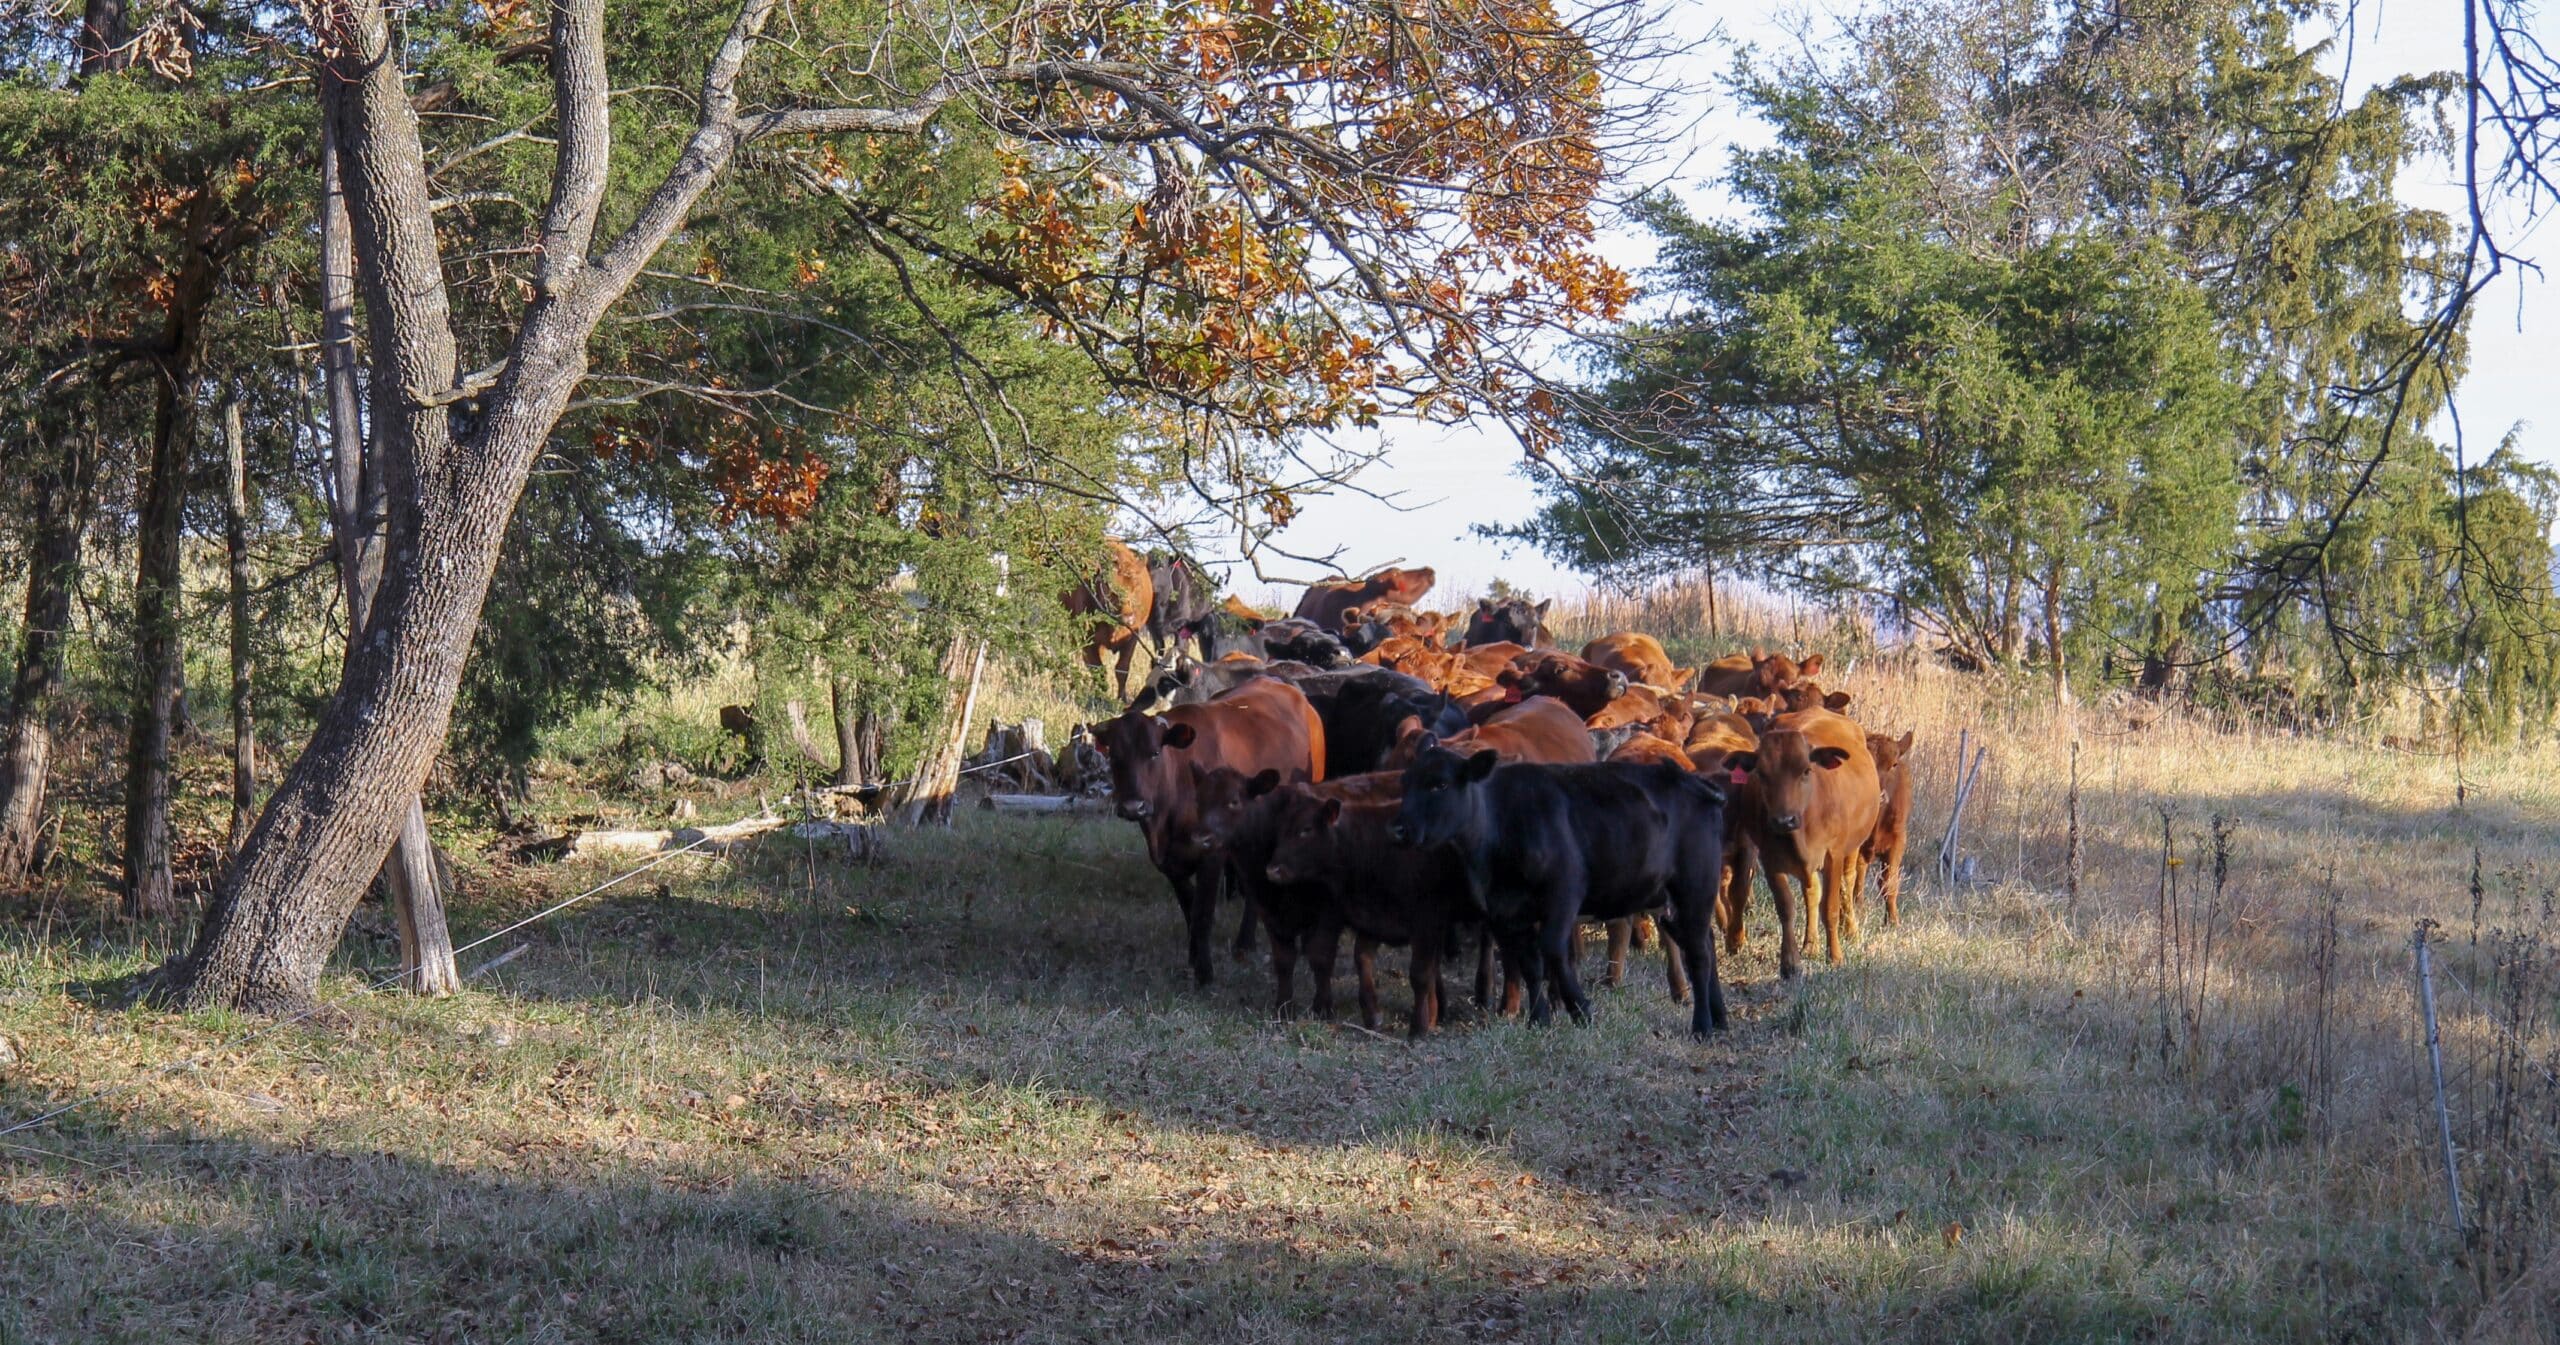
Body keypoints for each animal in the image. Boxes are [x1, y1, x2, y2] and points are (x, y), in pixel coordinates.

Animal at [1063, 539, 1155, 699]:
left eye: (1136, 585)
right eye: (1109, 587)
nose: (1128, 618)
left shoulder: (1132, 637)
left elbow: (1122, 669)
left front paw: (1122, 698)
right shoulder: (1087, 639)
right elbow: (1097, 669)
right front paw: (1101, 698)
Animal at [1094, 678, 1326, 986]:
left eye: (1154, 752)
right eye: (1114, 757)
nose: (1134, 806)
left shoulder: (1211, 852)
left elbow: (1203, 912)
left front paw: (1204, 972)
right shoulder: (1168, 861)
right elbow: (1189, 907)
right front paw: (1194, 957)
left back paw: (1247, 942)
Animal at [1390, 746, 1730, 1036]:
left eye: (1440, 785)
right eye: (1404, 783)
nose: (1398, 830)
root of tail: (1694, 782)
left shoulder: (1564, 892)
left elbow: (1552, 949)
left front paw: (1580, 1011)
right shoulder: (1506, 910)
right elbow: (1530, 964)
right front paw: (1539, 1019)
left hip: (1695, 885)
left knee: (1699, 954)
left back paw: (1702, 1026)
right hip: (1668, 898)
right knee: (1705, 943)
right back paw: (1720, 1018)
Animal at [1724, 709, 1877, 975]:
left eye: (1806, 770)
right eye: (1761, 774)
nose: (1784, 820)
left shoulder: (1833, 854)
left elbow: (1830, 907)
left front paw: (1835, 956)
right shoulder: (1769, 859)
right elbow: (1786, 907)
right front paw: (1790, 962)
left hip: (1853, 847)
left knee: (1846, 884)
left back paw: (1851, 931)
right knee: (1812, 892)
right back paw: (1810, 945)